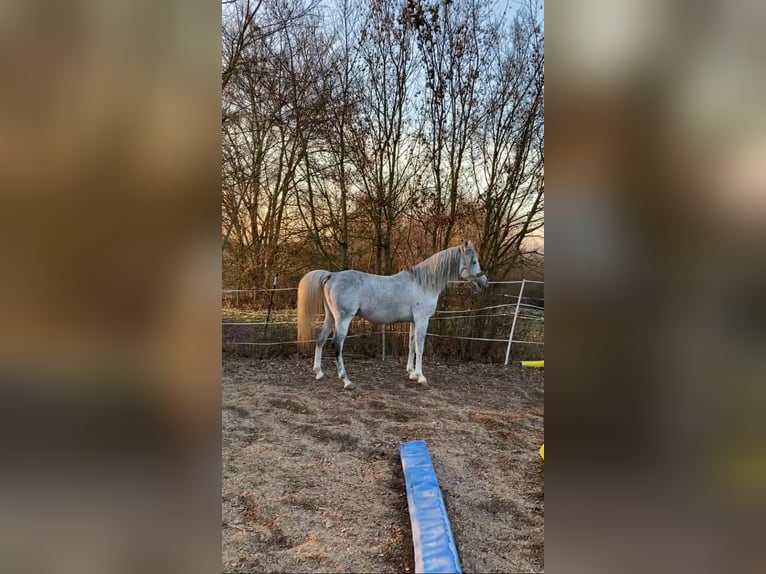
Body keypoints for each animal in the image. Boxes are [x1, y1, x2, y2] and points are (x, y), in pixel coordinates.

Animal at [296, 240, 488, 390]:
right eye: (474, 261)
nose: (484, 282)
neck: (424, 283)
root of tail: (332, 275)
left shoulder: (413, 321)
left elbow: (411, 346)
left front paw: (411, 373)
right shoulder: (422, 320)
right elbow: (420, 347)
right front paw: (421, 377)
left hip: (331, 317)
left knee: (320, 339)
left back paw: (319, 373)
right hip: (343, 319)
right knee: (337, 345)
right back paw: (346, 381)